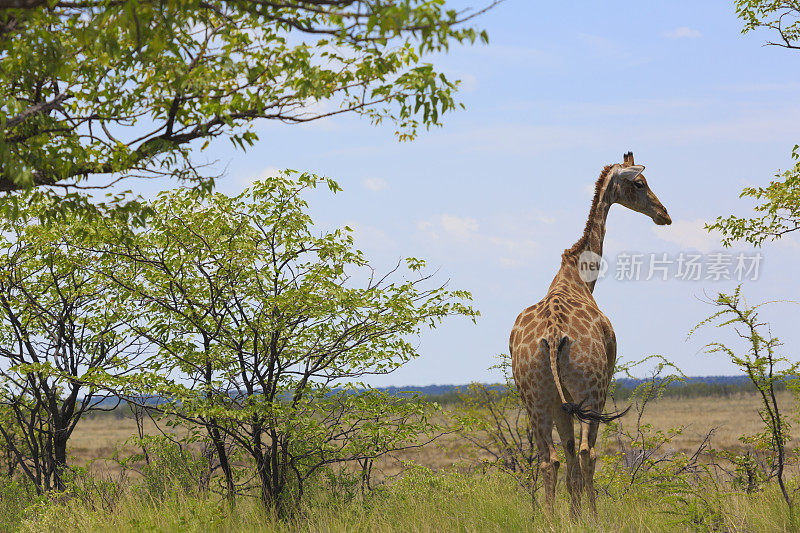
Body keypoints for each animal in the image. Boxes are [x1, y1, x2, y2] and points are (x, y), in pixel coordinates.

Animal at [510, 150, 672, 516]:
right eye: (640, 183)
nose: (664, 214)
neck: (580, 276)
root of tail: (554, 335)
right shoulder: (597, 384)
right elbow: (581, 454)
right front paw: (582, 516)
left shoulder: (561, 402)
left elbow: (567, 456)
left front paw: (572, 516)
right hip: (592, 389)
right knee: (588, 452)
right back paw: (595, 518)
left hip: (534, 396)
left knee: (549, 459)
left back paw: (548, 520)